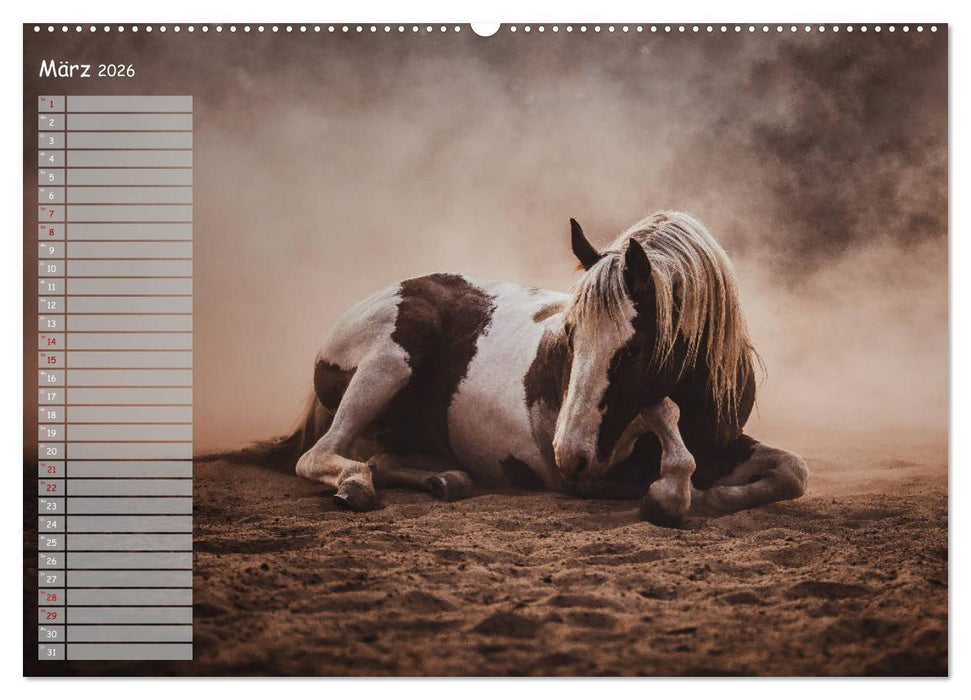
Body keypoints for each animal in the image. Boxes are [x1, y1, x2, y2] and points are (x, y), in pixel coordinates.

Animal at [241, 211, 808, 526]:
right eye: (570, 336)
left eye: (632, 350)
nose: (569, 455)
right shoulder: (596, 478)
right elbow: (674, 482)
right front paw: (681, 493)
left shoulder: (728, 443)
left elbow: (794, 471)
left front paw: (723, 494)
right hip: (390, 360)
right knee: (320, 455)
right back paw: (358, 485)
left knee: (379, 456)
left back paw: (446, 480)